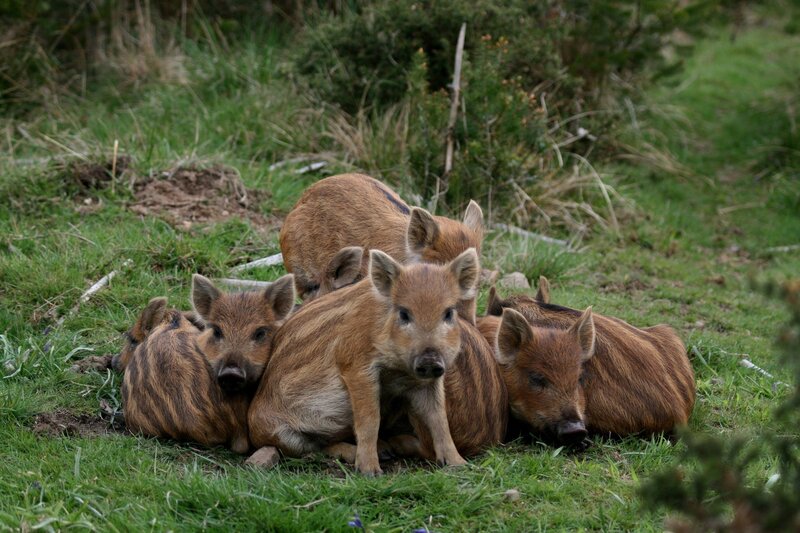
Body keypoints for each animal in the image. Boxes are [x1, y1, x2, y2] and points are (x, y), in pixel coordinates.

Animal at [247, 248, 503, 475]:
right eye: (404, 313)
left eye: (449, 313)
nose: (430, 358)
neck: (399, 368)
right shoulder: (354, 364)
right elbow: (370, 419)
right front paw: (370, 472)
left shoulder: (428, 380)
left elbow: (439, 419)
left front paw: (459, 465)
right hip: (278, 432)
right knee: (312, 449)